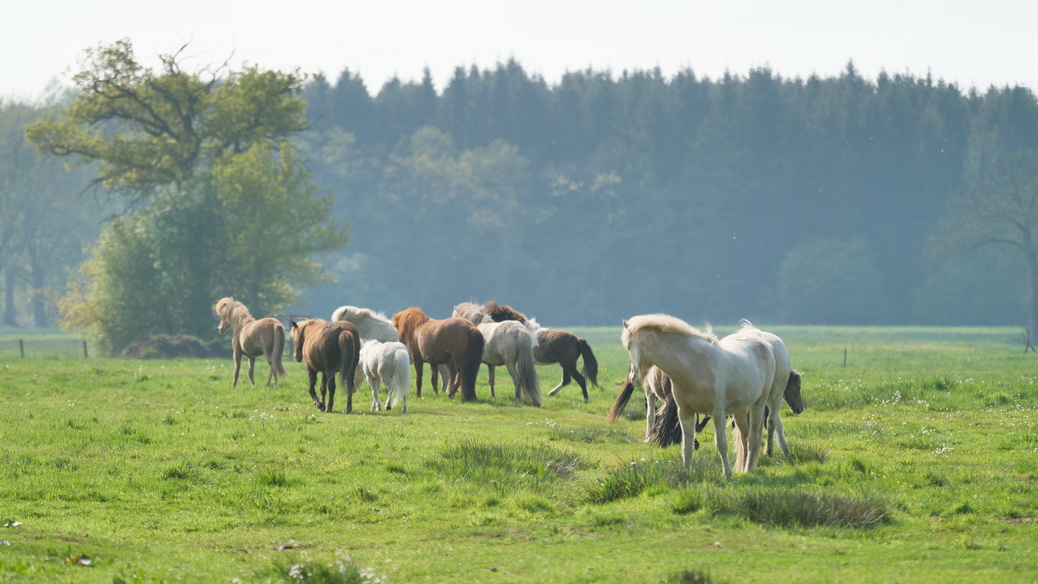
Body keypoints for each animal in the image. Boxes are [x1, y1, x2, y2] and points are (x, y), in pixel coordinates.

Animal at [618, 315, 776, 479]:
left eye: (629, 347)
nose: (633, 378)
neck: (695, 366)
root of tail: (761, 341)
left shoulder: (718, 413)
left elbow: (721, 444)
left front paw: (727, 474)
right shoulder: (685, 412)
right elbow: (687, 446)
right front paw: (686, 473)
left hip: (759, 404)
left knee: (753, 438)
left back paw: (748, 470)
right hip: (739, 410)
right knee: (744, 439)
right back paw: (743, 468)